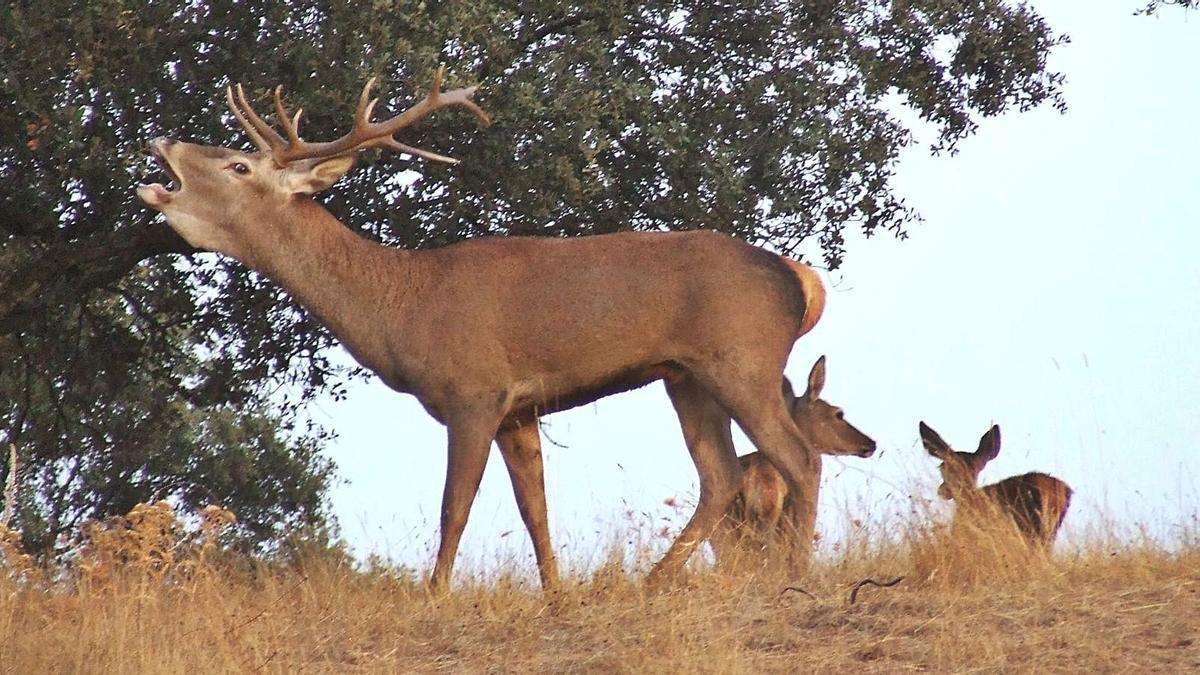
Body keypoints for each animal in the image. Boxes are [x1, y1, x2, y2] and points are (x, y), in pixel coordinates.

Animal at [138, 68, 835, 588]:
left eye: (238, 166)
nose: (163, 144)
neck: (400, 309)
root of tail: (801, 279)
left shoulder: (473, 392)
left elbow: (456, 507)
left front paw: (434, 595)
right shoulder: (519, 408)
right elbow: (535, 512)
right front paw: (556, 595)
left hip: (741, 358)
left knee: (797, 457)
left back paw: (799, 573)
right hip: (684, 374)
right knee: (720, 474)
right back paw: (653, 582)